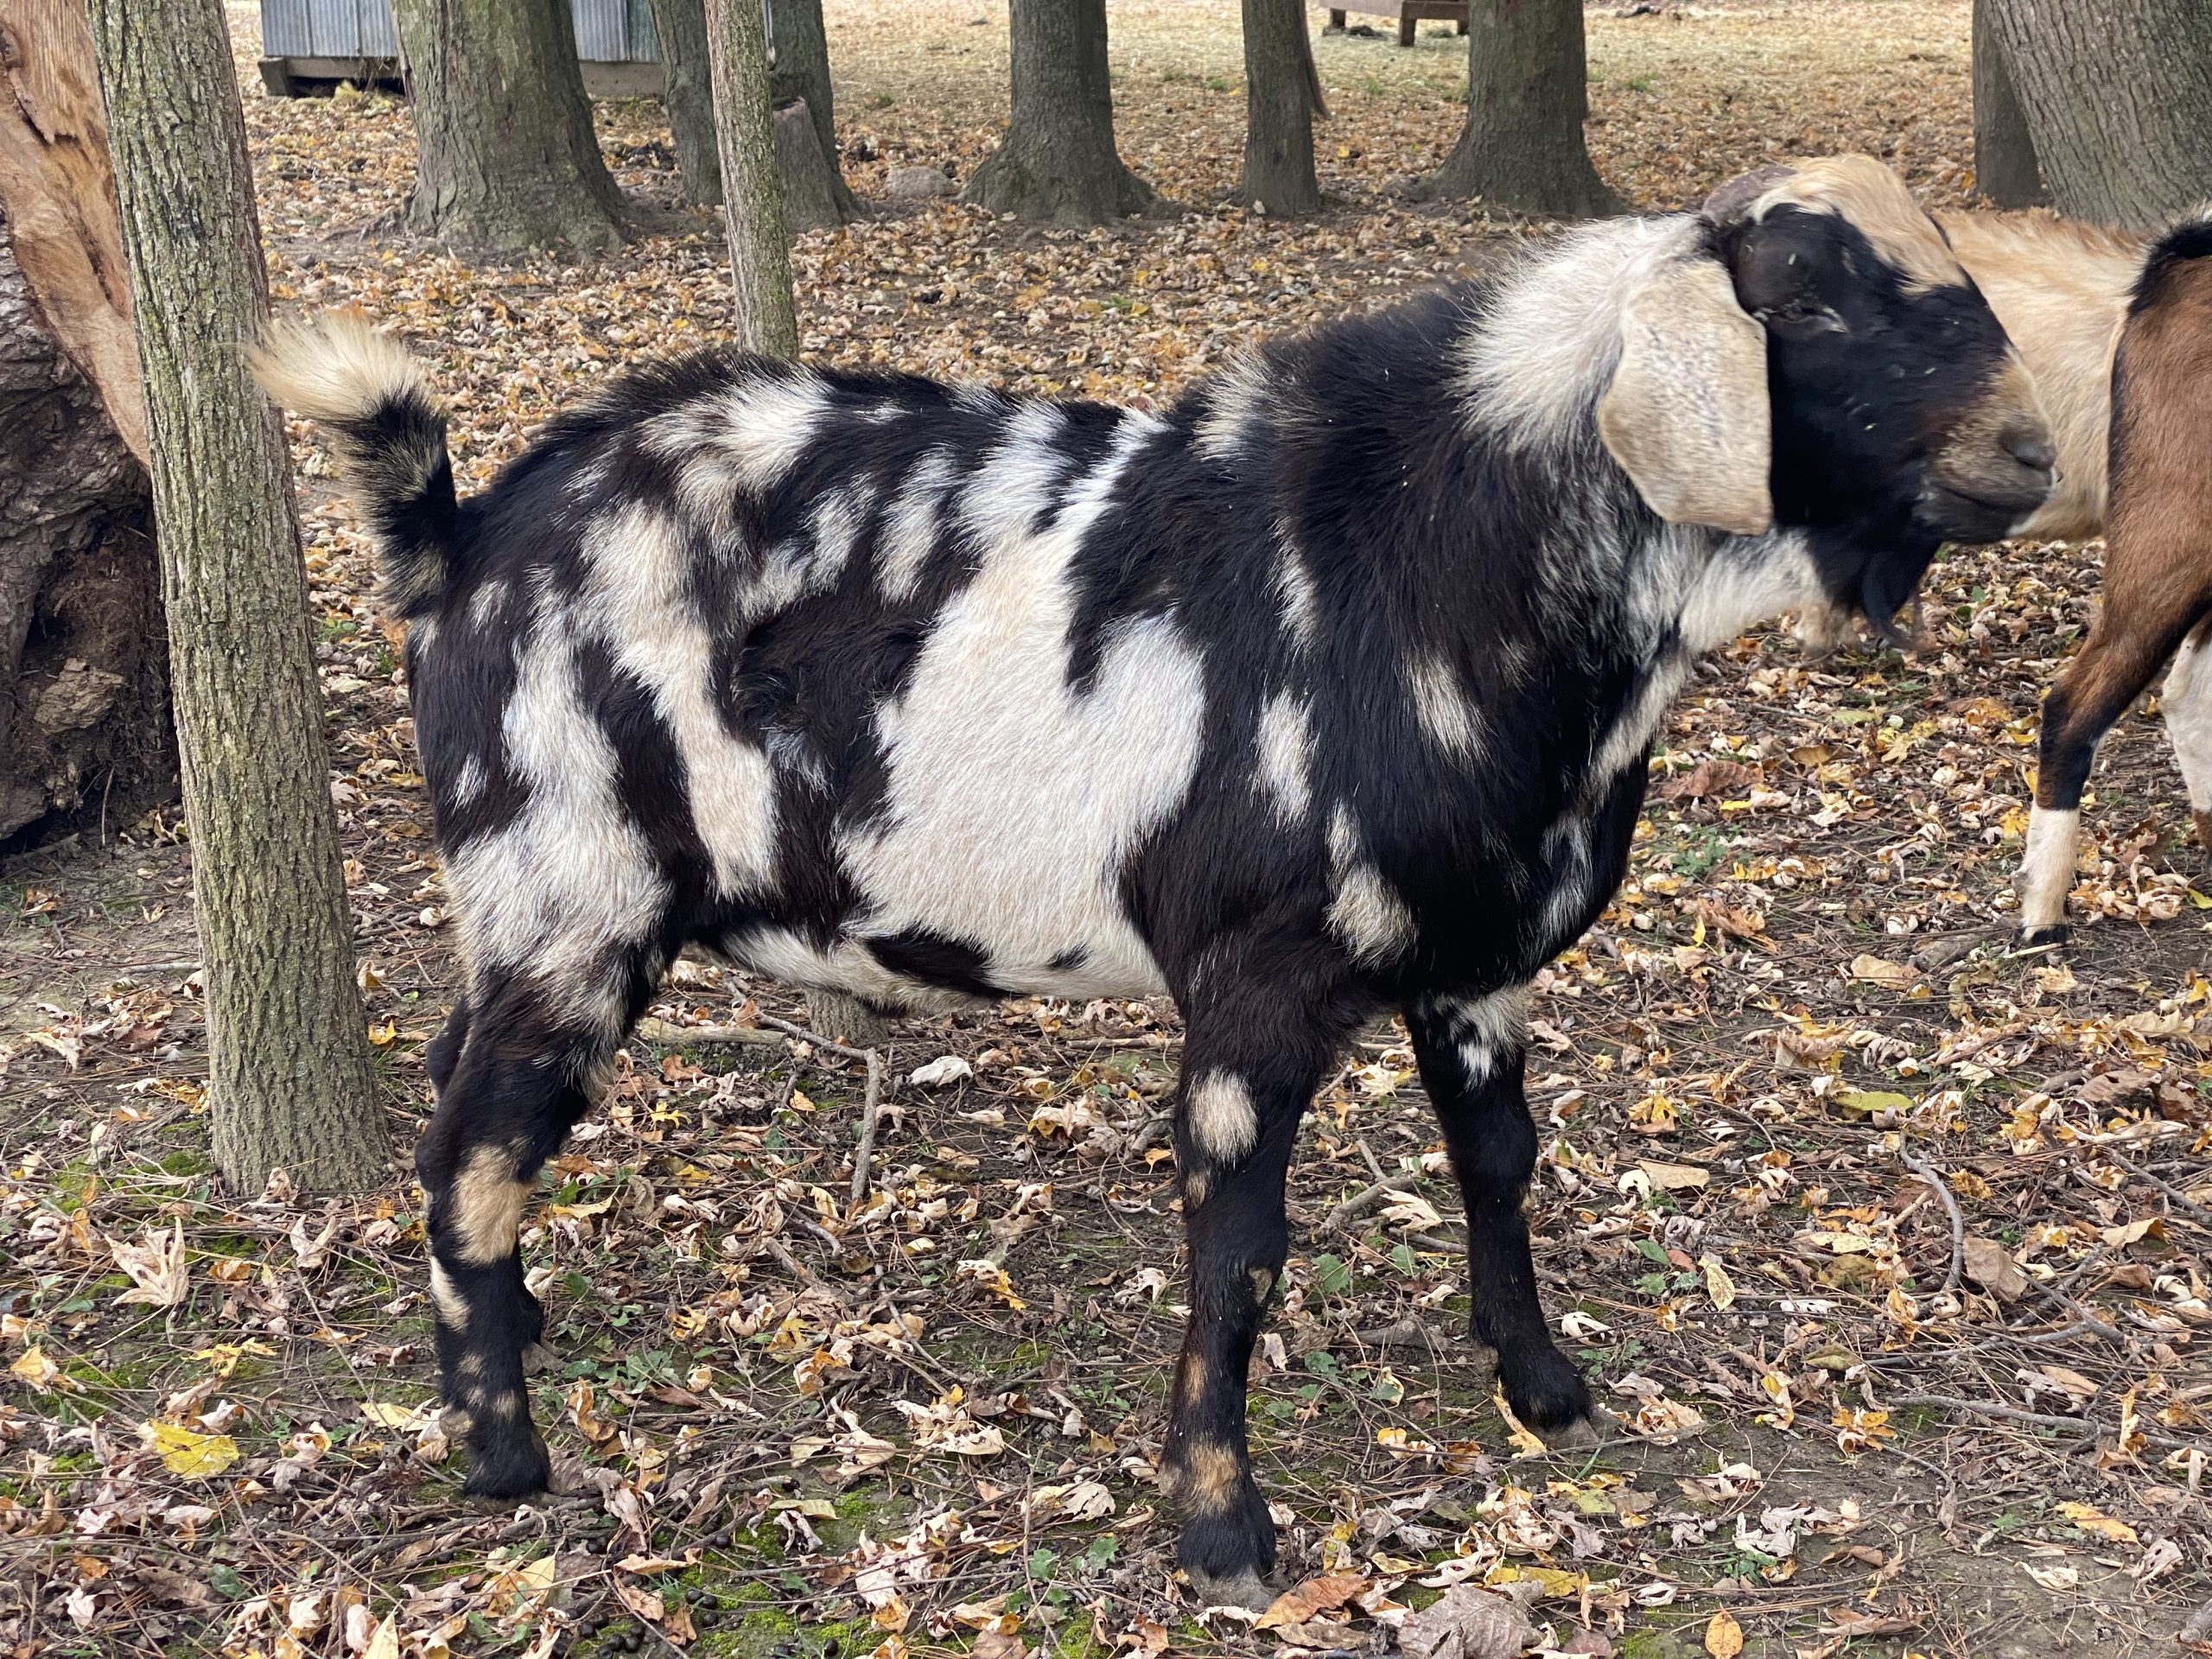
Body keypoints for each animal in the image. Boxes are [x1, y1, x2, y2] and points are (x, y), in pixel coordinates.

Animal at [255, 155, 2051, 1606]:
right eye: (1804, 288)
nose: (2032, 452)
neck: (1428, 571)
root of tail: (457, 535)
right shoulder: (1256, 985)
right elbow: (1239, 1248)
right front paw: (1222, 1531)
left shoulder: (1473, 963)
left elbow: (1500, 1162)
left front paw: (1540, 1383)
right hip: (576, 890)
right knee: (473, 1146)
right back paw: (502, 1457)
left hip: (533, 908)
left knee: (459, 1092)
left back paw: (513, 1343)